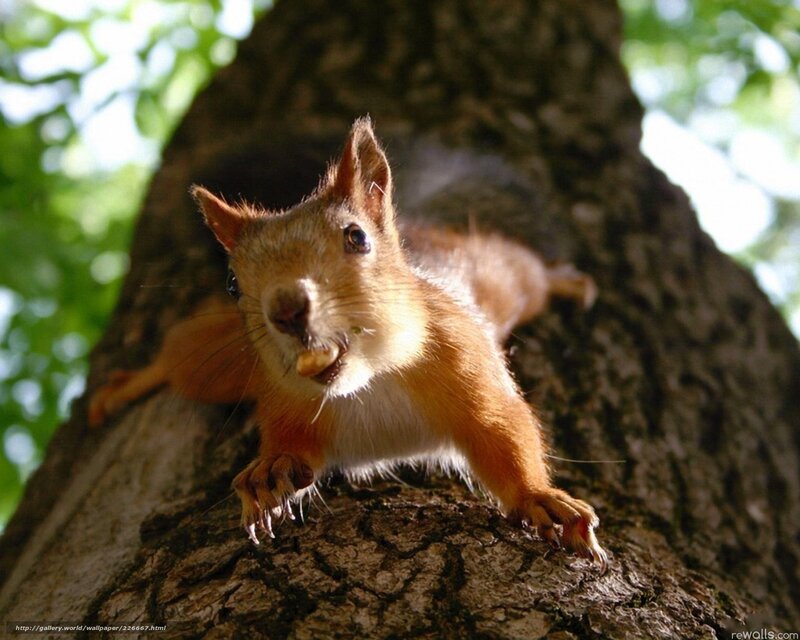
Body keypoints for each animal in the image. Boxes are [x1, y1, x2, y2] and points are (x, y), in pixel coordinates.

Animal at [89, 118, 607, 569]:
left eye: (357, 237)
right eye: (233, 283)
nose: (287, 307)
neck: (368, 380)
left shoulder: (465, 359)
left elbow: (503, 429)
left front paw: (540, 499)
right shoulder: (283, 398)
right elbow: (292, 447)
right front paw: (269, 471)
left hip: (497, 275)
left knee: (527, 269)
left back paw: (565, 281)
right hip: (223, 360)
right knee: (179, 361)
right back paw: (127, 385)